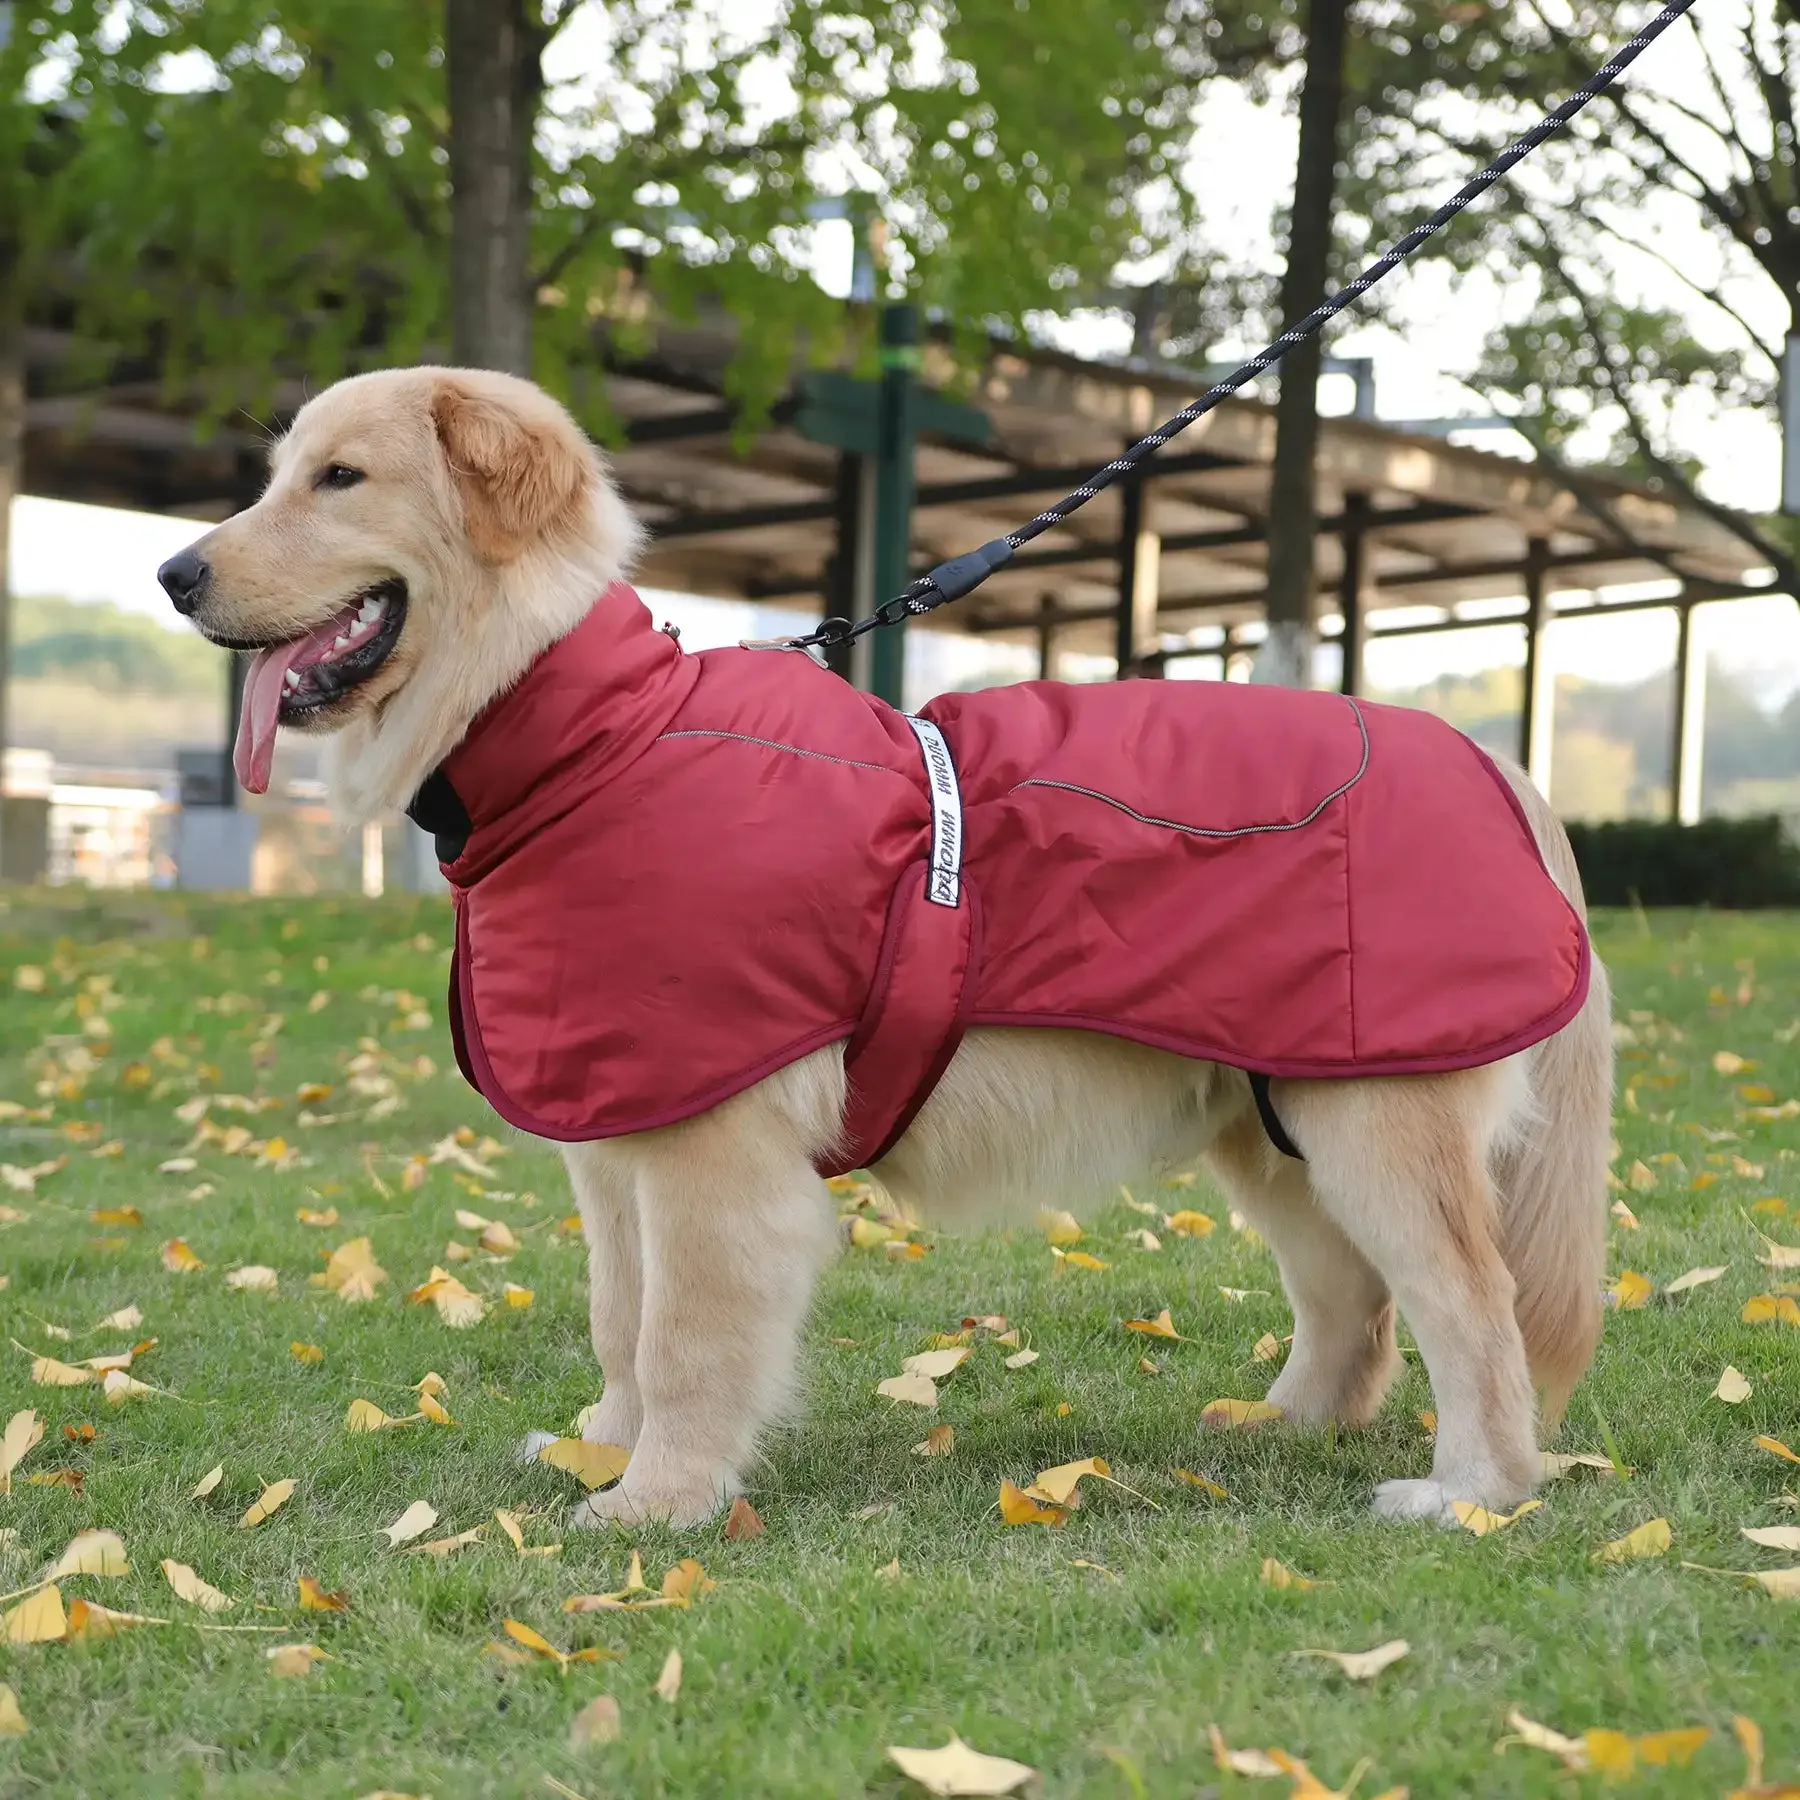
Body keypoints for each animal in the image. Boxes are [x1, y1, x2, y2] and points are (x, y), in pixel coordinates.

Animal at [158, 365, 1620, 1533]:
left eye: (341, 478)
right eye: (279, 473)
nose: (174, 576)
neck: (591, 735)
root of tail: (1491, 757)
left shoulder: (713, 1151)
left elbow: (683, 1337)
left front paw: (659, 1502)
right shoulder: (619, 1140)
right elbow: (620, 1319)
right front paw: (607, 1452)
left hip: (1376, 1126)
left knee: (1470, 1306)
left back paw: (1472, 1494)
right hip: (1276, 1126)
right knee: (1353, 1301)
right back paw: (1290, 1422)